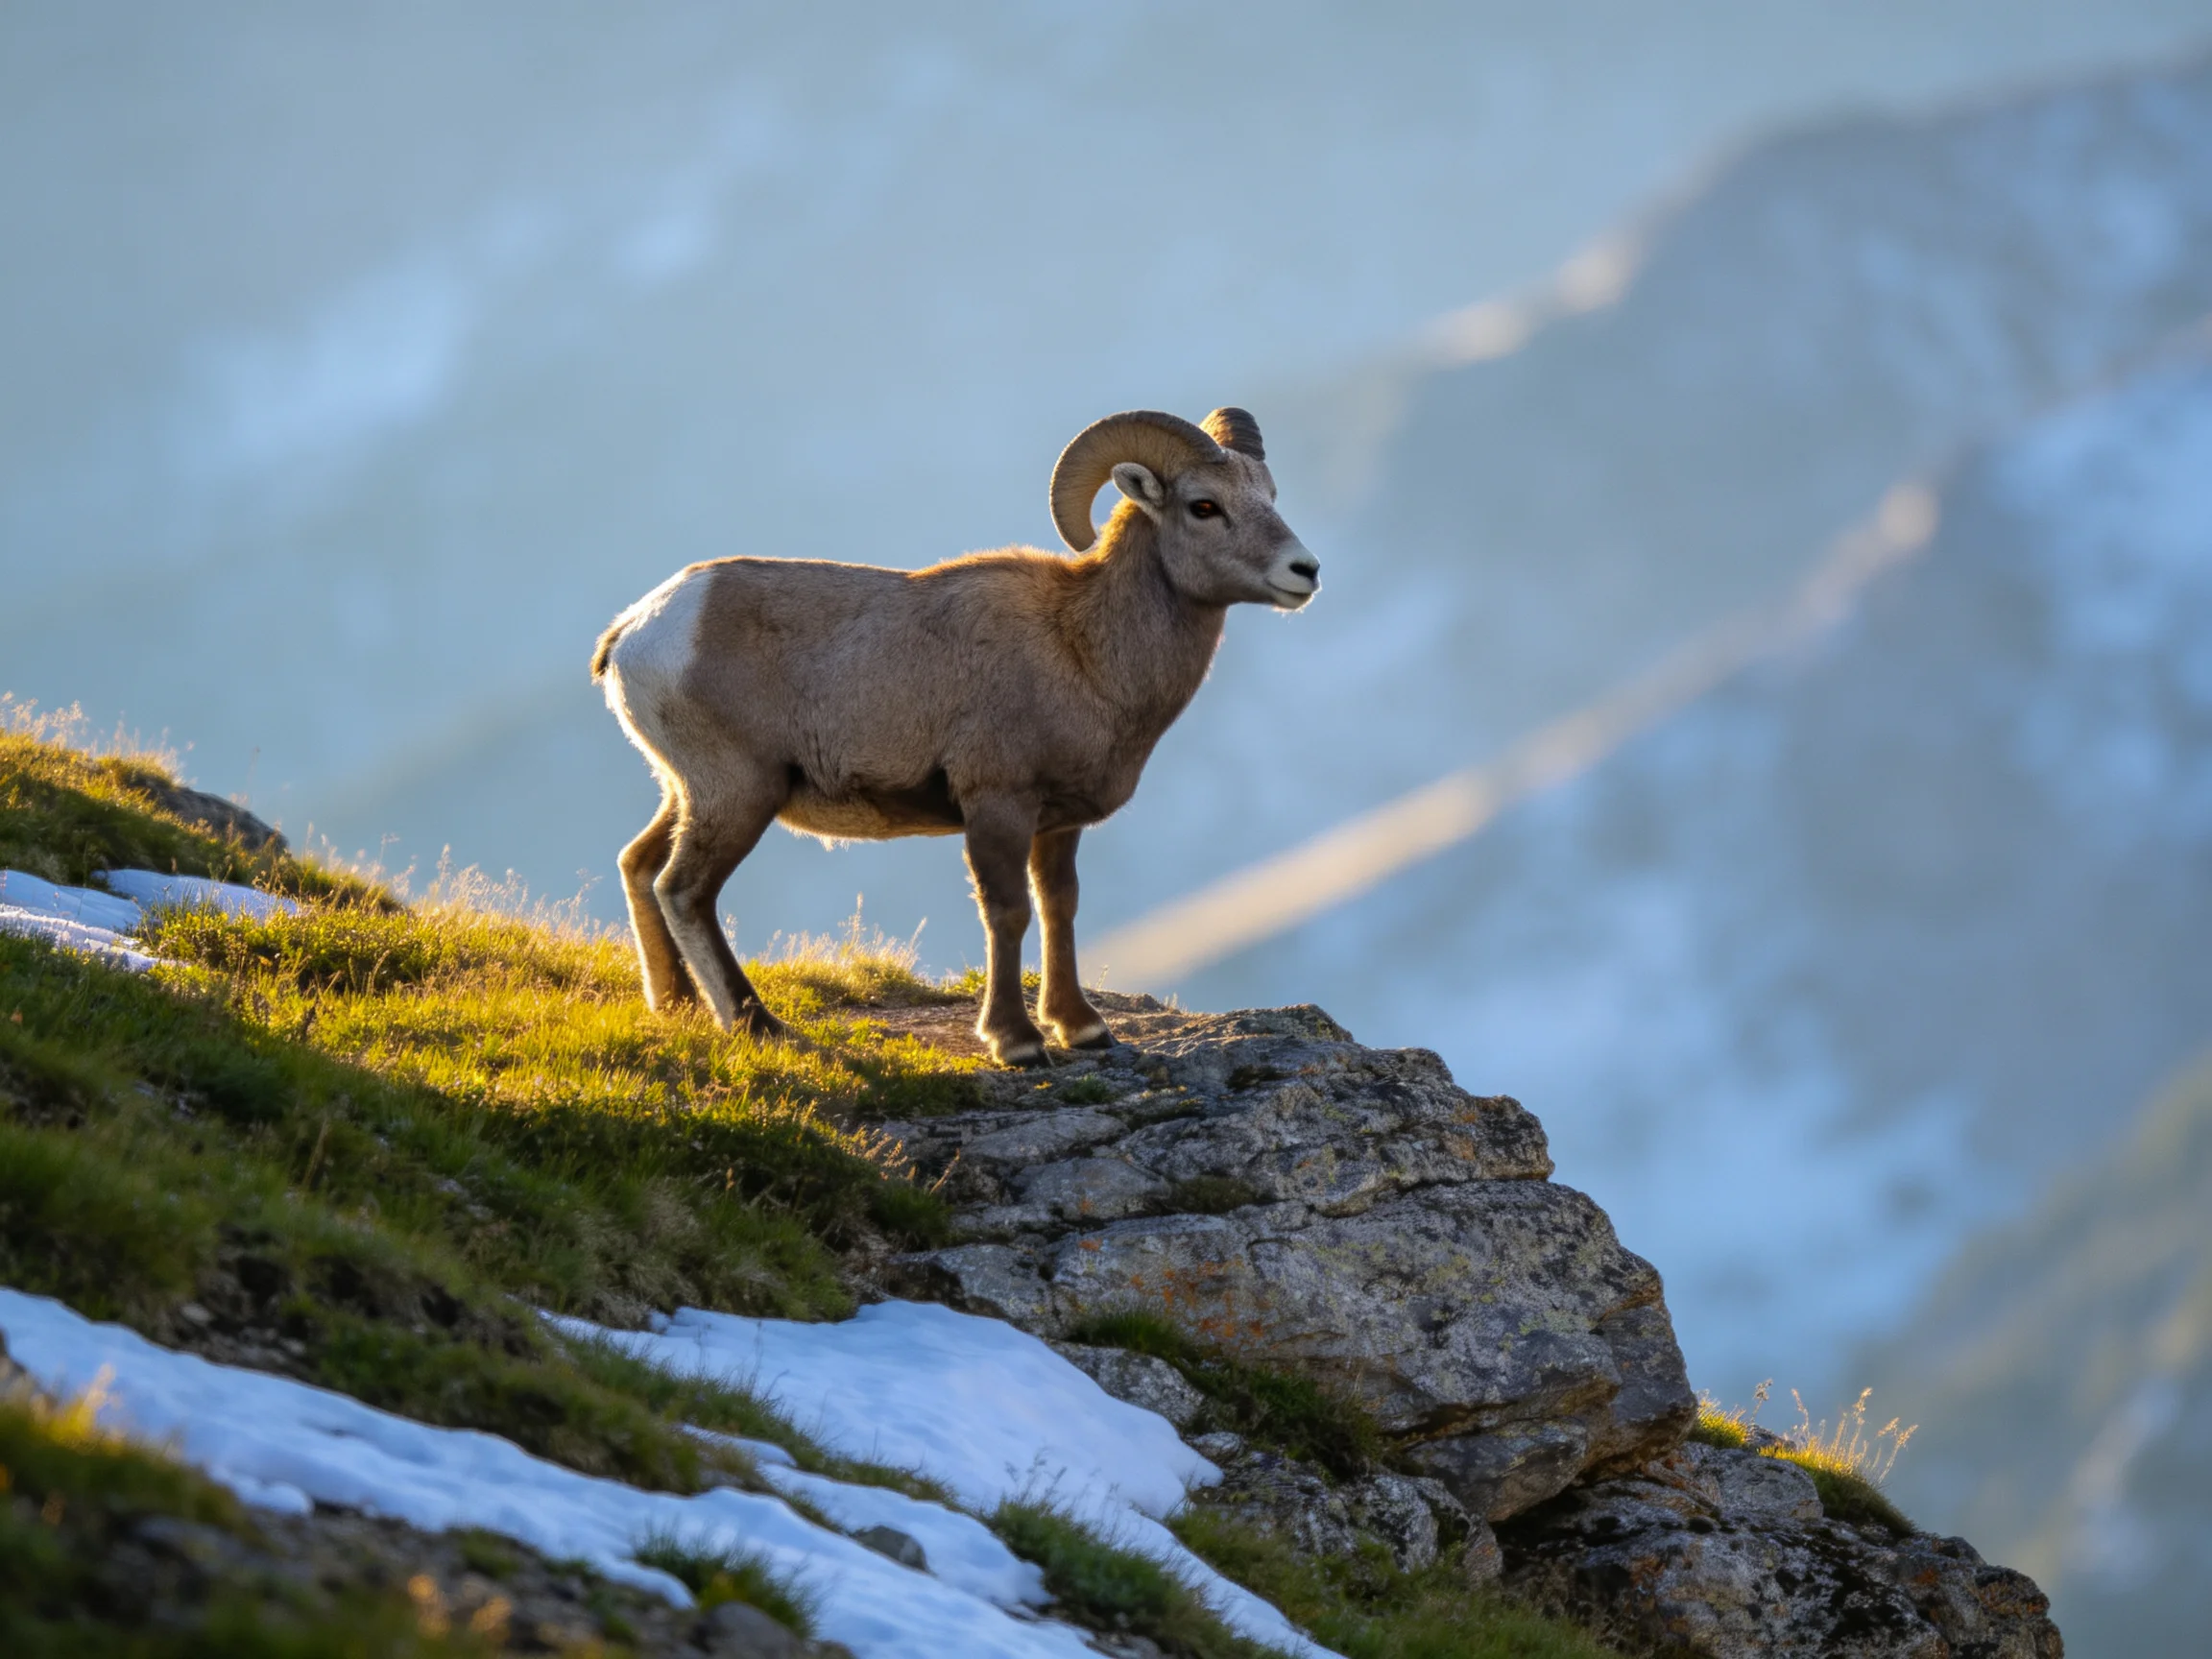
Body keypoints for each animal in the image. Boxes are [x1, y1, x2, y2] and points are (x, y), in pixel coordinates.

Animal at [590, 407, 1319, 1066]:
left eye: (1269, 496)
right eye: (1204, 506)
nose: (1304, 571)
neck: (1081, 648)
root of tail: (637, 629)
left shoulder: (1057, 822)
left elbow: (1060, 907)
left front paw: (1082, 1028)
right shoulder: (996, 804)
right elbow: (1009, 912)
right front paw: (1017, 1042)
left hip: (687, 793)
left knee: (639, 864)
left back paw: (679, 1006)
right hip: (739, 794)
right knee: (684, 890)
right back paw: (757, 1027)